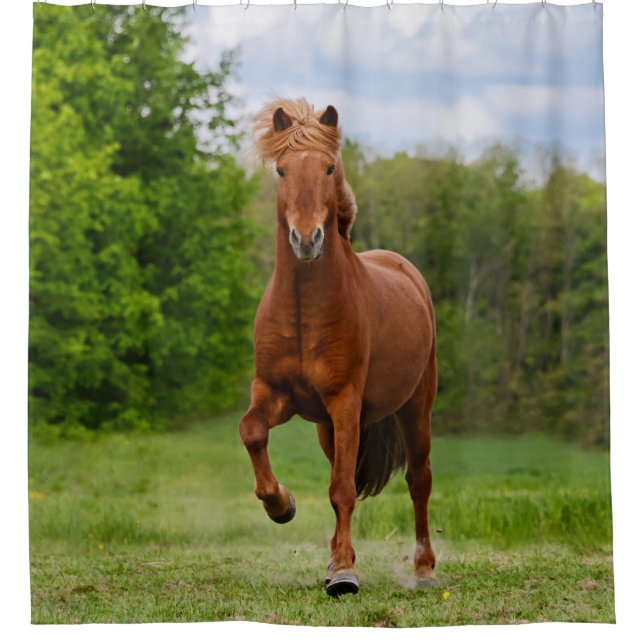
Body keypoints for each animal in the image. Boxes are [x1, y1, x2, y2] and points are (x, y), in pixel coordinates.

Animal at [239, 98, 438, 597]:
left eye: (328, 168)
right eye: (282, 170)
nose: (306, 239)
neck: (303, 313)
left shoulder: (345, 401)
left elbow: (343, 489)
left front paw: (346, 574)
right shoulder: (275, 393)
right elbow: (252, 431)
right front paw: (281, 505)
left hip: (415, 408)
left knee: (419, 480)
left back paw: (424, 569)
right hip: (327, 428)